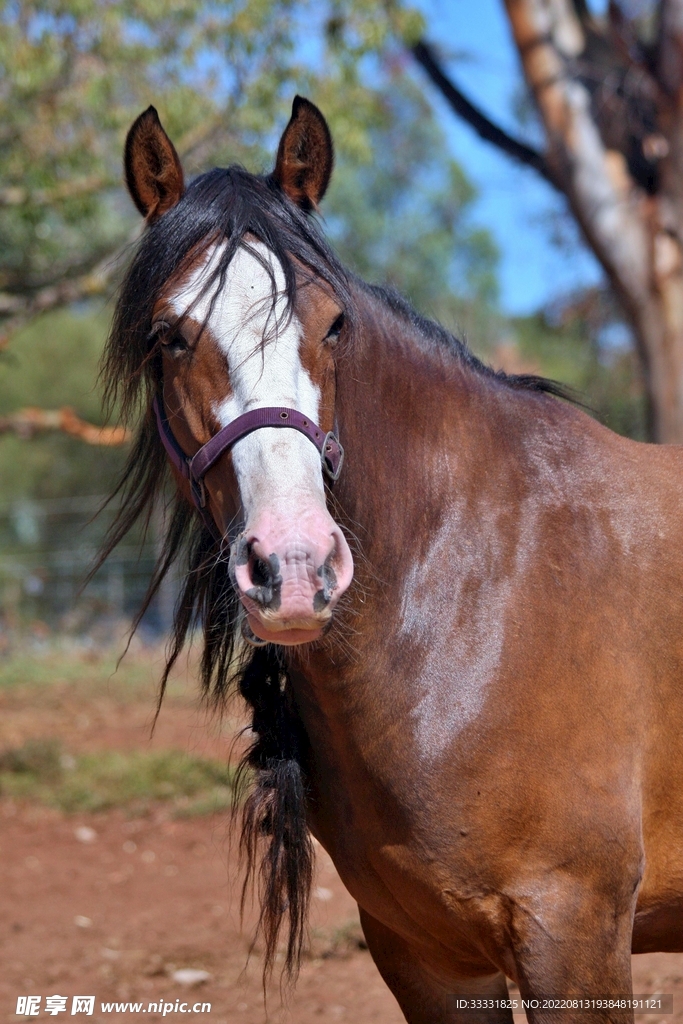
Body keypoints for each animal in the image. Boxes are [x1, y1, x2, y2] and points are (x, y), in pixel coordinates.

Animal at [96, 96, 683, 1023]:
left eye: (334, 324)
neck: (477, 595)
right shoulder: (426, 954)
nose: (294, 566)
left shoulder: (573, 933)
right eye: (168, 335)